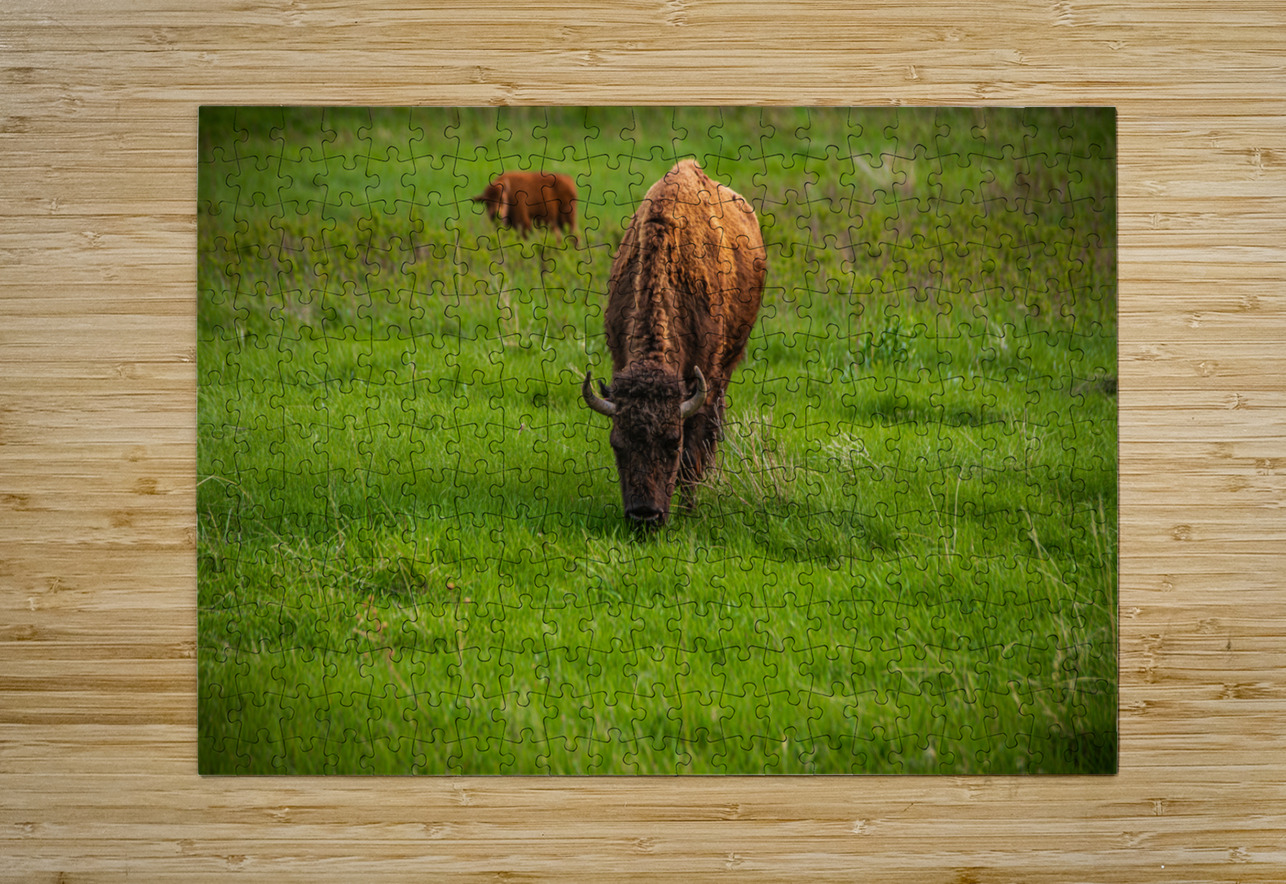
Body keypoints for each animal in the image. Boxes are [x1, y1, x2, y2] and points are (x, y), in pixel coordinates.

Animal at [581, 159, 767, 528]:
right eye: (617, 445)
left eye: (672, 443)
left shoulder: (703, 381)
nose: (644, 516)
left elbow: (694, 454)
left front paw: (689, 510)